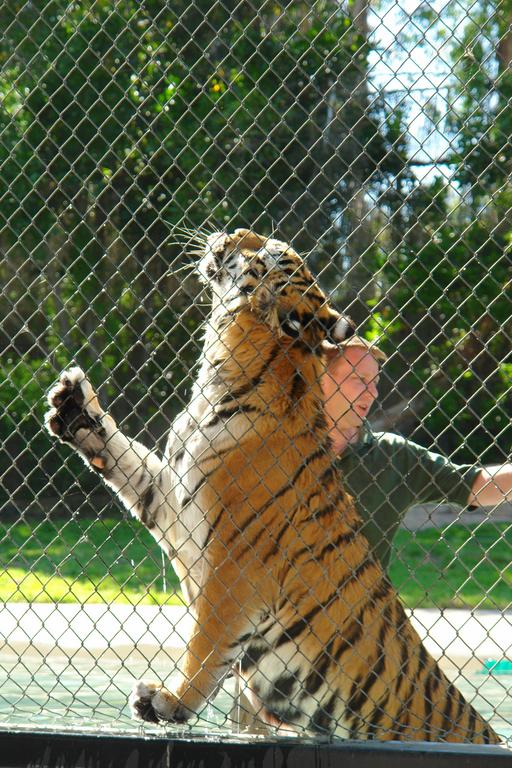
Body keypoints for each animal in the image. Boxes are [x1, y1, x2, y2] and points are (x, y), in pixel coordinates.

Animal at [45, 228, 501, 744]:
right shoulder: (170, 500)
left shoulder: (235, 563)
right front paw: (74, 406)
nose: (226, 232)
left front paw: (171, 701)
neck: (222, 369)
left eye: (269, 252)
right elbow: (125, 459)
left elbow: (205, 642)